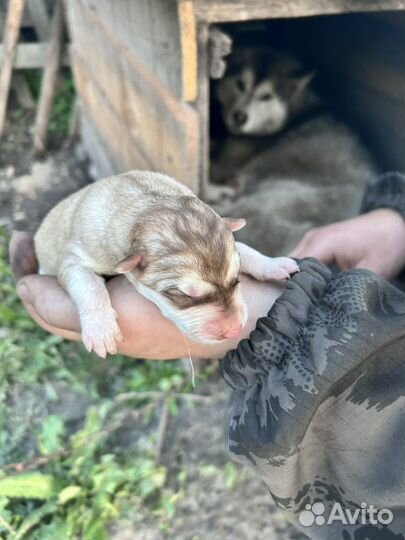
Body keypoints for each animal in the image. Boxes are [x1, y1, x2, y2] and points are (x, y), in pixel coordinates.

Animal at [34, 171, 298, 356]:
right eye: (184, 296)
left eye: (236, 280)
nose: (235, 330)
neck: (145, 205)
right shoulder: (75, 256)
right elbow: (86, 281)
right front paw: (100, 327)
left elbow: (243, 248)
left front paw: (271, 264)